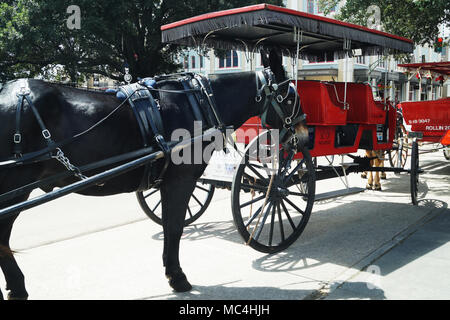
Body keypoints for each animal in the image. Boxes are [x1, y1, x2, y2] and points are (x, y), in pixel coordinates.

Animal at [0, 48, 308, 298]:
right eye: (290, 96)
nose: (304, 136)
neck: (199, 102)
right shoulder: (180, 181)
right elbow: (174, 227)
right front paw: (177, 277)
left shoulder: (168, 183)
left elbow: (170, 225)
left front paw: (171, 271)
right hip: (15, 190)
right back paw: (18, 286)